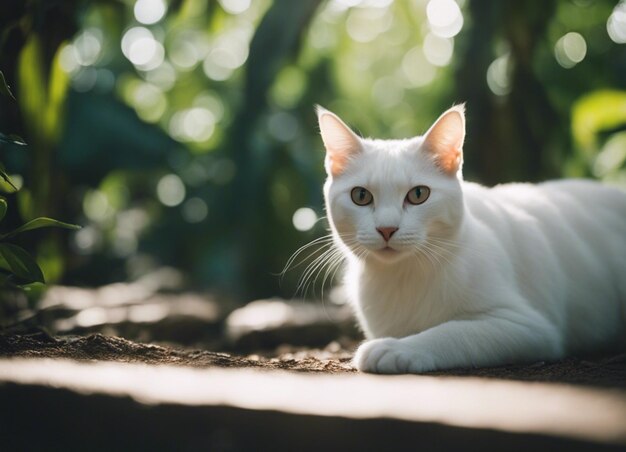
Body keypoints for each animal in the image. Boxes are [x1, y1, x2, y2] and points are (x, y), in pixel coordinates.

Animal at [314, 104, 624, 372]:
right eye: (361, 196)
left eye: (418, 194)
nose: (387, 229)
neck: (402, 277)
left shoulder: (529, 327)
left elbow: (451, 331)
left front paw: (396, 348)